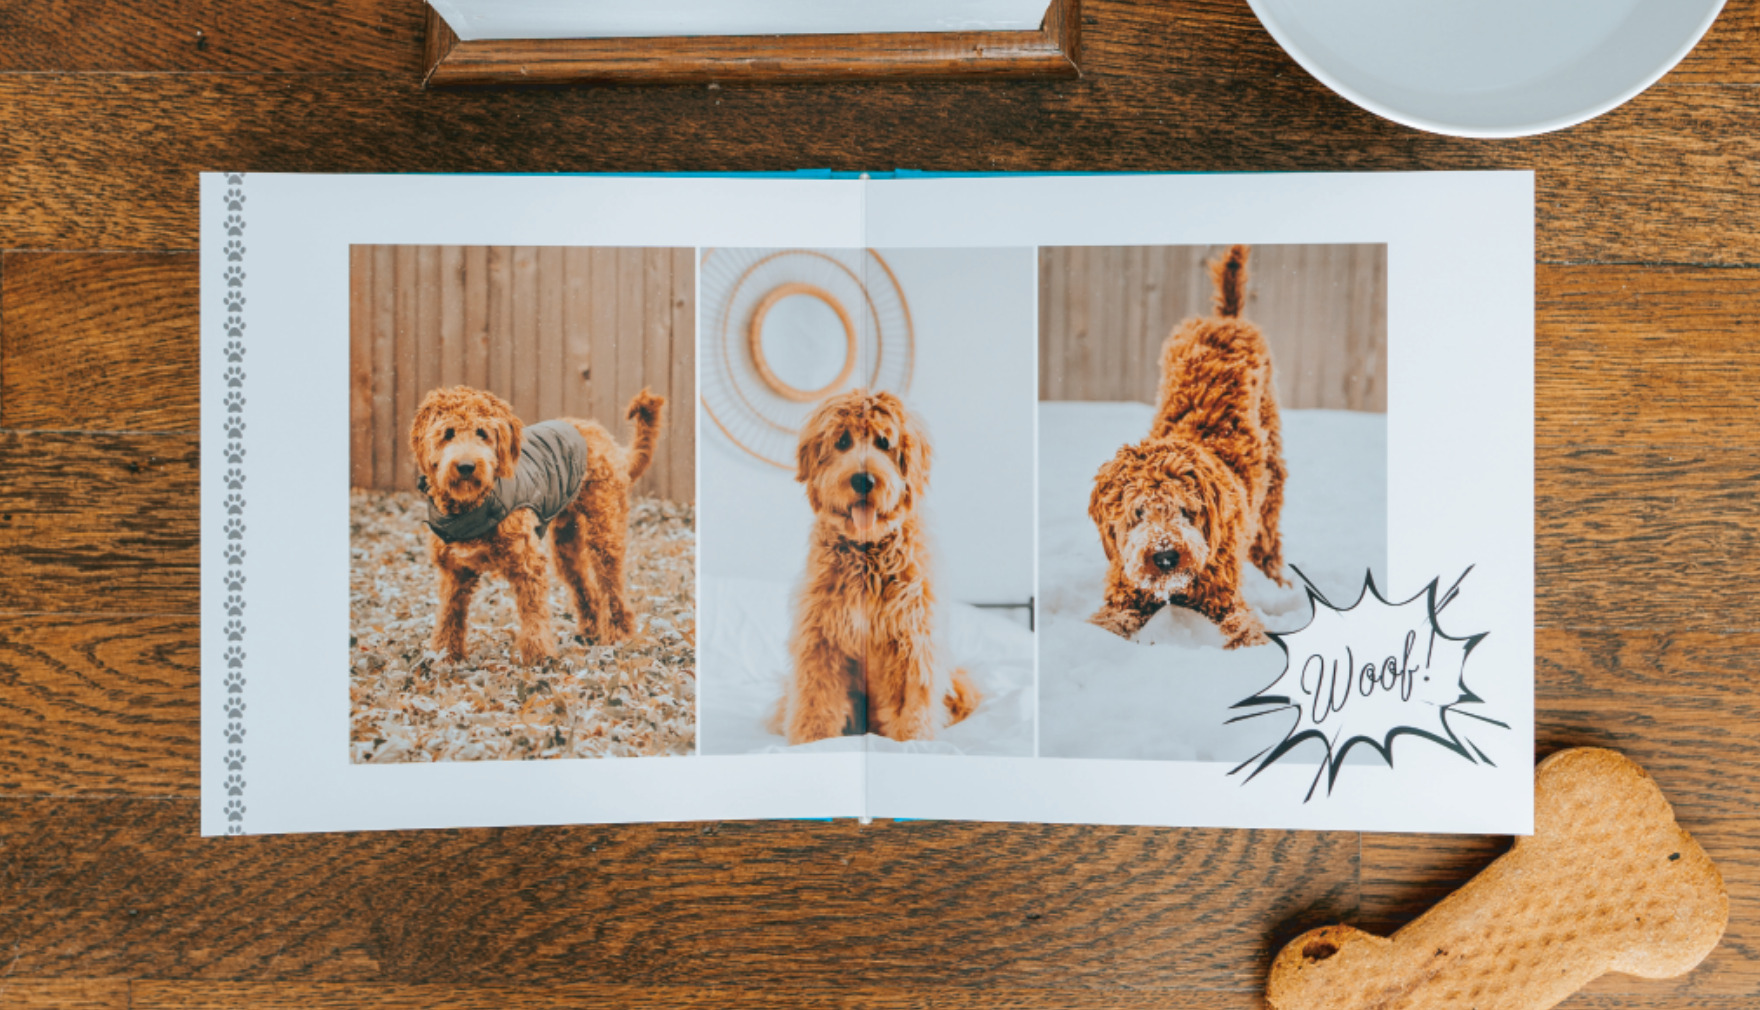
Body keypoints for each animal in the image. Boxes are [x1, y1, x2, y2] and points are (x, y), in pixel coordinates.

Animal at [408, 385, 661, 665]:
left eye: (482, 433)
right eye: (448, 434)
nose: (466, 466)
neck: (473, 505)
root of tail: (604, 436)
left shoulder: (527, 563)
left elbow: (533, 614)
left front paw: (540, 657)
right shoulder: (455, 571)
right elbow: (448, 615)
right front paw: (445, 656)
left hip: (604, 531)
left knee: (613, 588)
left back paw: (619, 636)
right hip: (566, 545)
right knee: (587, 589)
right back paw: (589, 633)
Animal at [781, 392, 985, 749]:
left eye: (883, 442)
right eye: (843, 441)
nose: (864, 480)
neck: (868, 557)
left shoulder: (911, 640)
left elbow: (910, 708)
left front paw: (913, 743)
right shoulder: (821, 638)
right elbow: (816, 700)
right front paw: (812, 742)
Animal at [1091, 246, 1288, 647]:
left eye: (1186, 510)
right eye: (1138, 512)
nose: (1166, 556)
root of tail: (1225, 318)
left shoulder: (1225, 599)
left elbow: (1245, 630)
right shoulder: (1124, 593)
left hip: (1272, 475)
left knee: (1268, 537)